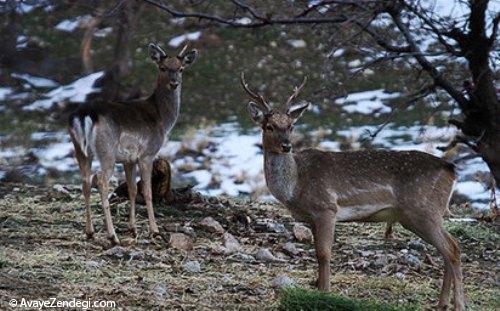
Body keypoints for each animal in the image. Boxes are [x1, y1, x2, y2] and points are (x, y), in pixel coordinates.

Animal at [68, 43, 197, 246]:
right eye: (163, 68)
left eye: (181, 68)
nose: (174, 83)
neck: (162, 118)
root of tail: (84, 115)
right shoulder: (147, 154)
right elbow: (147, 191)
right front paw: (154, 230)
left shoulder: (129, 159)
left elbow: (132, 190)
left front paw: (133, 229)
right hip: (107, 151)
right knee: (101, 181)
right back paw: (112, 236)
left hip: (80, 150)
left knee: (85, 182)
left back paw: (89, 232)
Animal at [241, 73, 464, 311]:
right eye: (269, 126)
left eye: (291, 126)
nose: (286, 146)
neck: (296, 186)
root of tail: (450, 169)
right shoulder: (311, 218)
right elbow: (316, 253)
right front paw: (319, 288)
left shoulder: (326, 207)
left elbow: (324, 253)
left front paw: (326, 293)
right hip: (422, 214)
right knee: (447, 250)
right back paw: (442, 304)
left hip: (423, 210)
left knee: (452, 249)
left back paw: (459, 304)